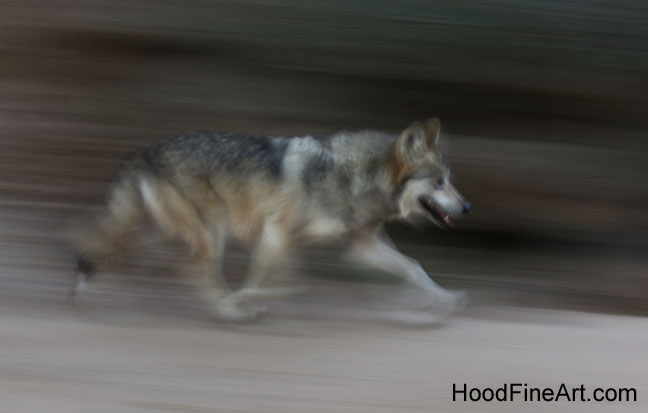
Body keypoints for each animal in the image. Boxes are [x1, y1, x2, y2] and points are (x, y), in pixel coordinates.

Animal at [73, 118, 471, 322]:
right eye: (439, 182)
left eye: (450, 179)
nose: (467, 207)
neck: (352, 176)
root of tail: (142, 150)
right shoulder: (276, 233)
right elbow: (280, 282)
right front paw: (245, 302)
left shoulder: (362, 246)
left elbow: (414, 267)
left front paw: (444, 300)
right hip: (211, 234)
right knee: (183, 268)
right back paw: (228, 311)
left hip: (167, 231)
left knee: (114, 247)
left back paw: (85, 289)